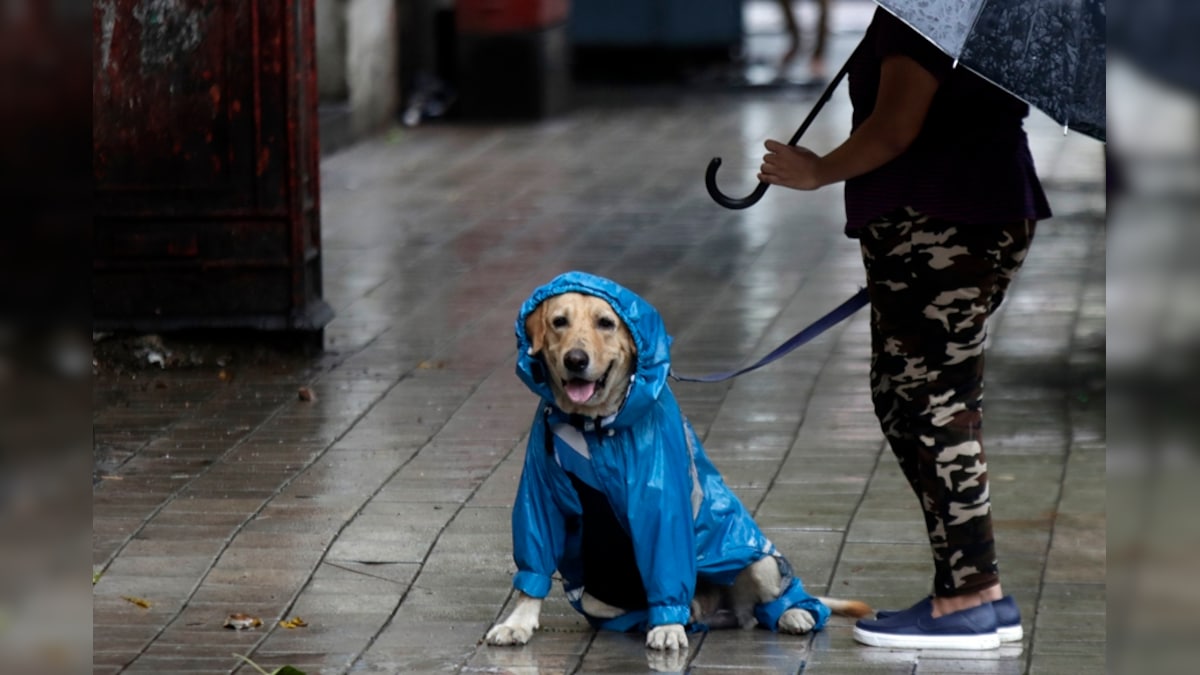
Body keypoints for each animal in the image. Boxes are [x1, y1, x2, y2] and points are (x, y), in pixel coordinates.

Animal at [487, 270, 873, 648]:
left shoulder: (661, 503)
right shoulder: (539, 495)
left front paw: (667, 627)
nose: (576, 360)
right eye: (559, 322)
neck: (593, 427)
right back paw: (681, 616)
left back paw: (791, 613)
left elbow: (667, 567)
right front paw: (518, 623)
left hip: (760, 560)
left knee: (774, 600)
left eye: (605, 323)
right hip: (601, 600)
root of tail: (723, 612)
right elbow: (533, 567)